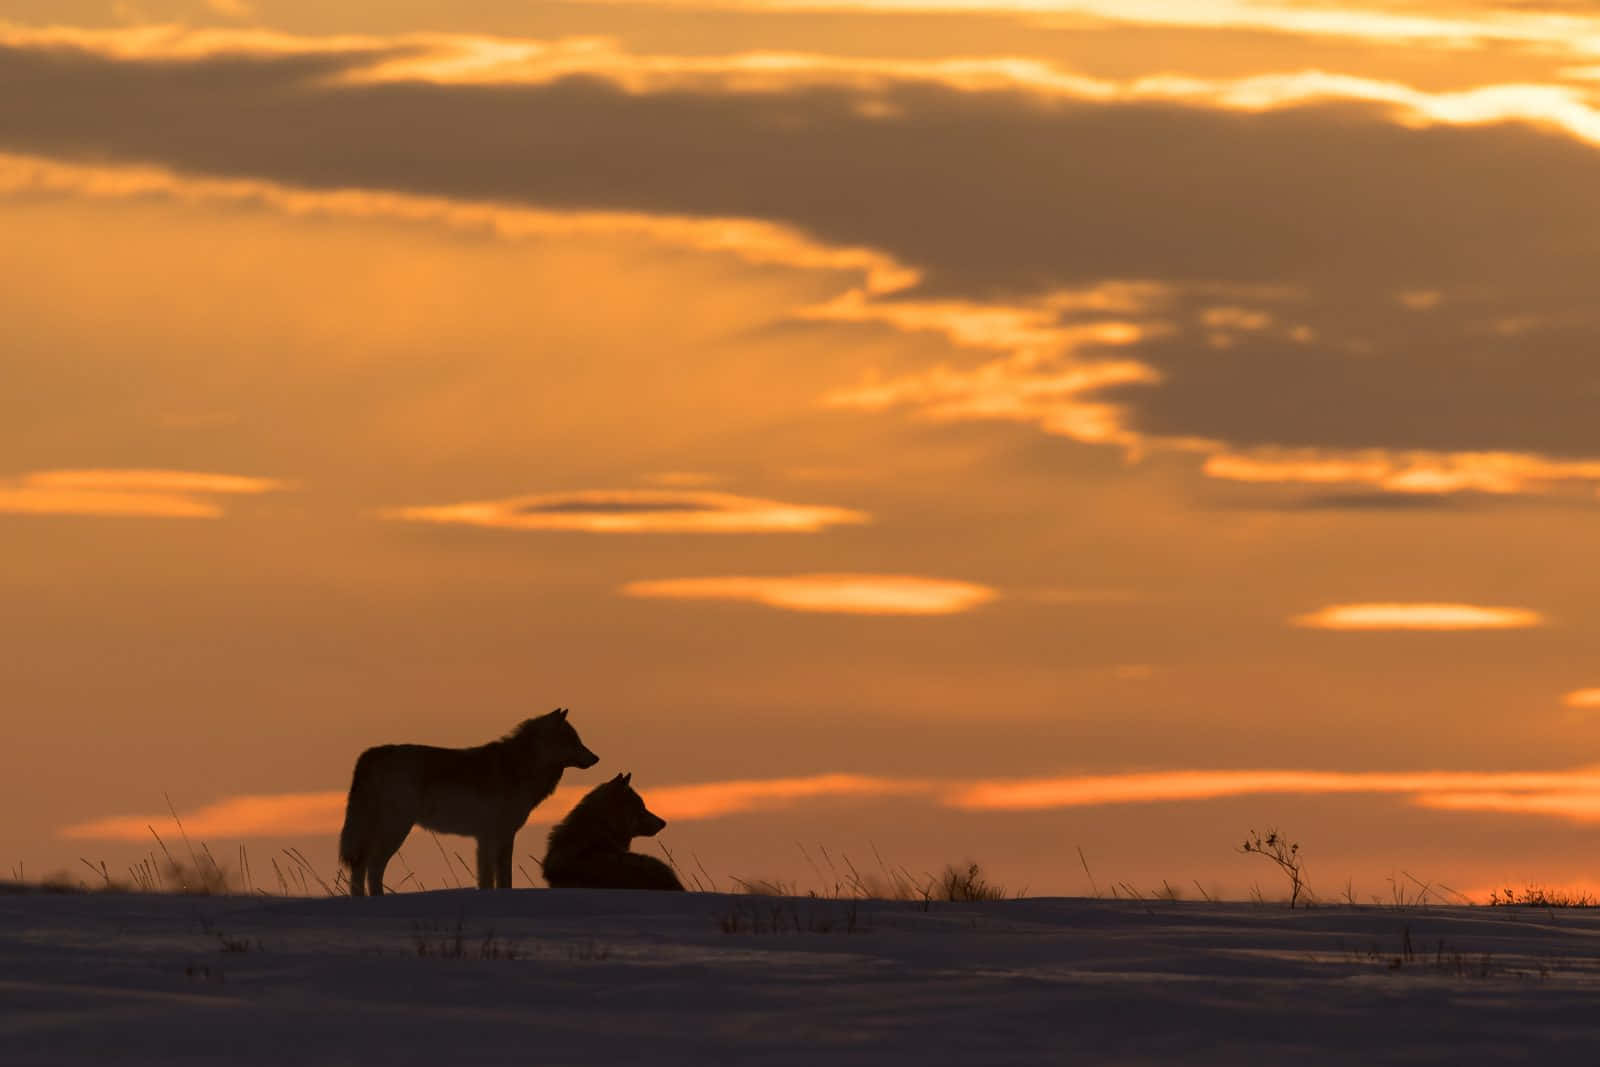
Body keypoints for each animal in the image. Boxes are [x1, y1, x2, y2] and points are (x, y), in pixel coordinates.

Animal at [334, 713, 598, 895]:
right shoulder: (498, 835)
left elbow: (492, 879)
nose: (596, 758)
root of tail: (372, 754)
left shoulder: (490, 837)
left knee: (359, 867)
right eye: (574, 740)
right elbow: (499, 878)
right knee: (372, 867)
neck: (521, 767)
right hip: (396, 830)